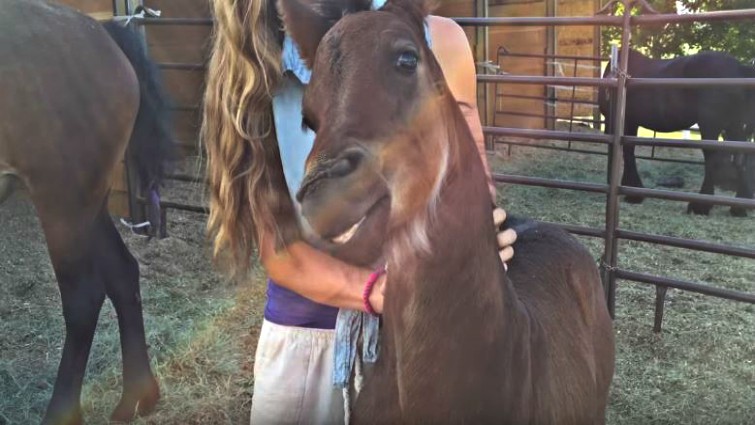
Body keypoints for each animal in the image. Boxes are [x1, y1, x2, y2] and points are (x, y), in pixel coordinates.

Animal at [0, 1, 173, 423]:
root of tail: (100, 34)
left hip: (63, 204)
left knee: (83, 299)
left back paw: (63, 412)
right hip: (87, 206)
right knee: (122, 272)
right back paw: (137, 397)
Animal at [598, 48, 755, 216]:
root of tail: (739, 68)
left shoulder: (621, 120)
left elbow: (626, 153)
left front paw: (634, 193)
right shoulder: (631, 123)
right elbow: (628, 150)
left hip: (711, 125)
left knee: (713, 158)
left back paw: (701, 205)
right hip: (735, 126)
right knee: (741, 158)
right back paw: (739, 207)